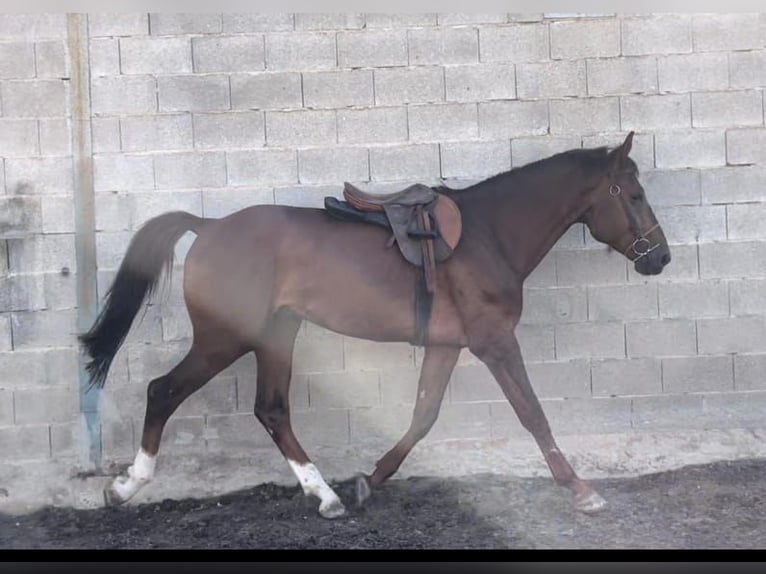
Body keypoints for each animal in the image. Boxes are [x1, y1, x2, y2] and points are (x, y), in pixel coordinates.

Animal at [81, 133, 672, 520]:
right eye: (635, 195)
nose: (660, 258)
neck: (489, 235)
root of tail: (207, 227)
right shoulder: (494, 343)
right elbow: (532, 414)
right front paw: (580, 489)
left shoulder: (447, 345)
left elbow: (423, 415)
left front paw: (370, 480)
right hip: (223, 340)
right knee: (163, 391)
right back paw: (127, 486)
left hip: (277, 336)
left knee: (271, 410)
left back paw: (326, 496)